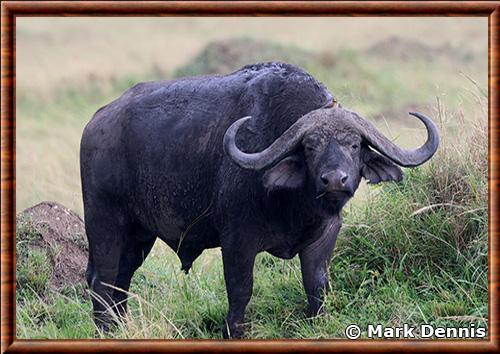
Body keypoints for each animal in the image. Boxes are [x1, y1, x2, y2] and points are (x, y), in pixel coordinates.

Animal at [80, 62, 440, 338]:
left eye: (354, 145)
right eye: (310, 146)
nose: (335, 180)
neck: (294, 204)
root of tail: (97, 121)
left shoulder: (324, 236)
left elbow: (317, 286)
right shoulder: (238, 241)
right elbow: (241, 290)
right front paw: (233, 332)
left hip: (139, 235)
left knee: (122, 280)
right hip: (104, 223)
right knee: (103, 280)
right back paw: (105, 330)